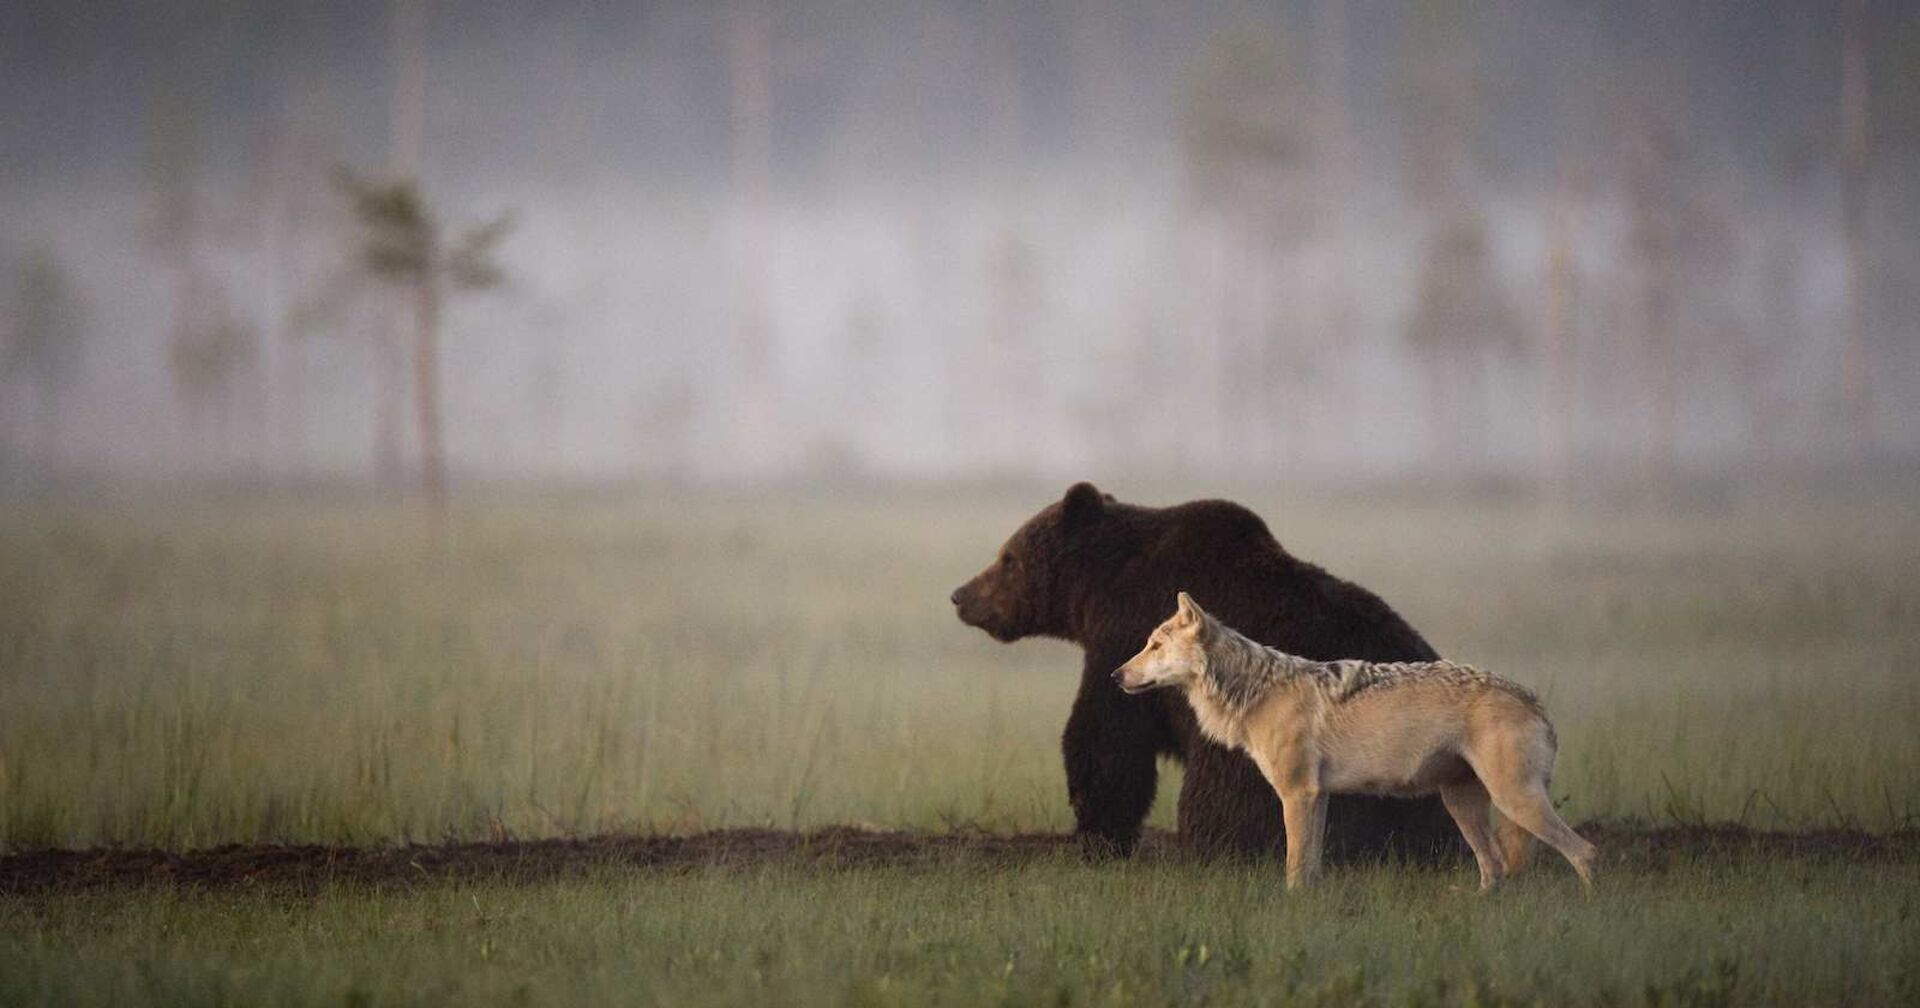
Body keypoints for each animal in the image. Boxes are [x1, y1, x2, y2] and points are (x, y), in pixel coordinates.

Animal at [950, 481, 1463, 861]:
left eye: (1008, 558)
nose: (960, 595)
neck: (1100, 588)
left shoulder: (1125, 635)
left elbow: (1107, 737)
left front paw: (1097, 833)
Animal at [1114, 592, 1597, 891]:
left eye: (1154, 646)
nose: (1115, 675)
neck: (1257, 691)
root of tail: (1534, 700)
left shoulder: (1298, 794)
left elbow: (1294, 864)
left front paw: (1292, 904)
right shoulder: (1317, 796)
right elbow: (1310, 864)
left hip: (1514, 801)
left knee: (1585, 852)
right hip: (1463, 806)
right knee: (1494, 869)